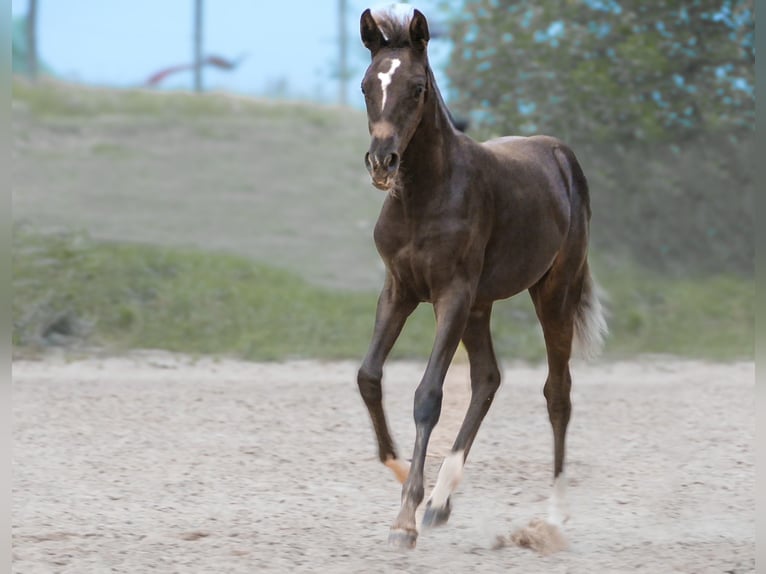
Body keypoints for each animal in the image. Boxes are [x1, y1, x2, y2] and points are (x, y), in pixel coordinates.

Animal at [356, 6, 608, 552]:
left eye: (416, 88)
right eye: (367, 85)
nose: (382, 163)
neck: (426, 195)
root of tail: (560, 155)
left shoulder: (451, 294)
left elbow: (428, 395)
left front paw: (404, 519)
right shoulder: (399, 289)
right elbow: (369, 376)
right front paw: (403, 475)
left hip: (552, 293)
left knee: (558, 393)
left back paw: (552, 521)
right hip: (480, 306)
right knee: (488, 378)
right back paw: (441, 502)